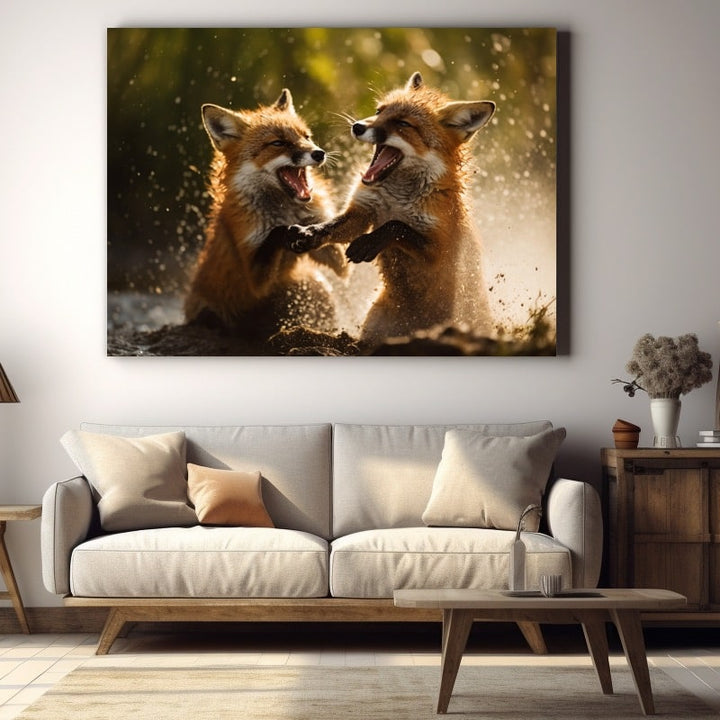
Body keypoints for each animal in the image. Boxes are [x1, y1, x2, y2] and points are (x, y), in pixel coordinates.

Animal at [184, 89, 346, 336]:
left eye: (306, 137)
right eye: (278, 143)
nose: (319, 153)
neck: (285, 209)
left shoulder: (328, 245)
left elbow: (340, 262)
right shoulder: (254, 276)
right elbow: (275, 234)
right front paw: (290, 232)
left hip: (316, 287)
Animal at [288, 72, 495, 345]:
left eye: (403, 124)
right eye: (379, 111)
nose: (358, 126)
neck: (397, 199)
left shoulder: (439, 249)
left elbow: (396, 226)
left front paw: (367, 244)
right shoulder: (362, 212)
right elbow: (332, 227)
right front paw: (309, 234)